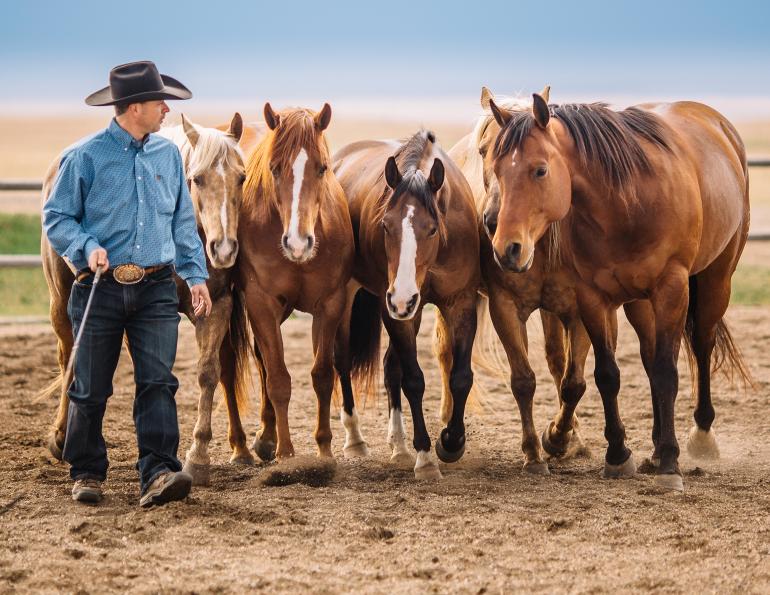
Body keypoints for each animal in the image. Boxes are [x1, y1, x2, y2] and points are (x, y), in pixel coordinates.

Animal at [227, 103, 355, 461]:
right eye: (274, 168)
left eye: (322, 167)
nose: (298, 243)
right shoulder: (260, 302)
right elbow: (279, 380)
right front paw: (285, 453)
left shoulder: (330, 304)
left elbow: (322, 375)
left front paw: (324, 450)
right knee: (234, 367)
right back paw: (244, 445)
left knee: (261, 359)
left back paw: (265, 437)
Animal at [332, 130, 480, 480]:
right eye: (386, 225)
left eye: (432, 228)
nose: (401, 297)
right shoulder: (397, 312)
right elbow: (414, 380)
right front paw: (426, 456)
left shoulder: (461, 302)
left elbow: (460, 376)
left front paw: (451, 442)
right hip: (354, 298)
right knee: (342, 360)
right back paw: (355, 439)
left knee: (390, 368)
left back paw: (398, 445)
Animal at [442, 86, 591, 473]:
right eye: (485, 154)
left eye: (540, 169)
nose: (493, 223)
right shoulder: (505, 308)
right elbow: (523, 380)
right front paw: (533, 453)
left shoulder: (580, 310)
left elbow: (572, 381)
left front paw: (560, 438)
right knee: (446, 354)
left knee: (557, 361)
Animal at [486, 90, 751, 490]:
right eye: (497, 170)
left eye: (540, 170)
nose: (506, 249)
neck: (626, 202)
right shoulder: (593, 298)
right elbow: (608, 375)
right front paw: (617, 456)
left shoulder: (672, 288)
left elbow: (667, 373)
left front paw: (671, 464)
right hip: (639, 303)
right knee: (649, 356)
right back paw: (655, 449)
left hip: (714, 281)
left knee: (701, 346)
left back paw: (700, 436)